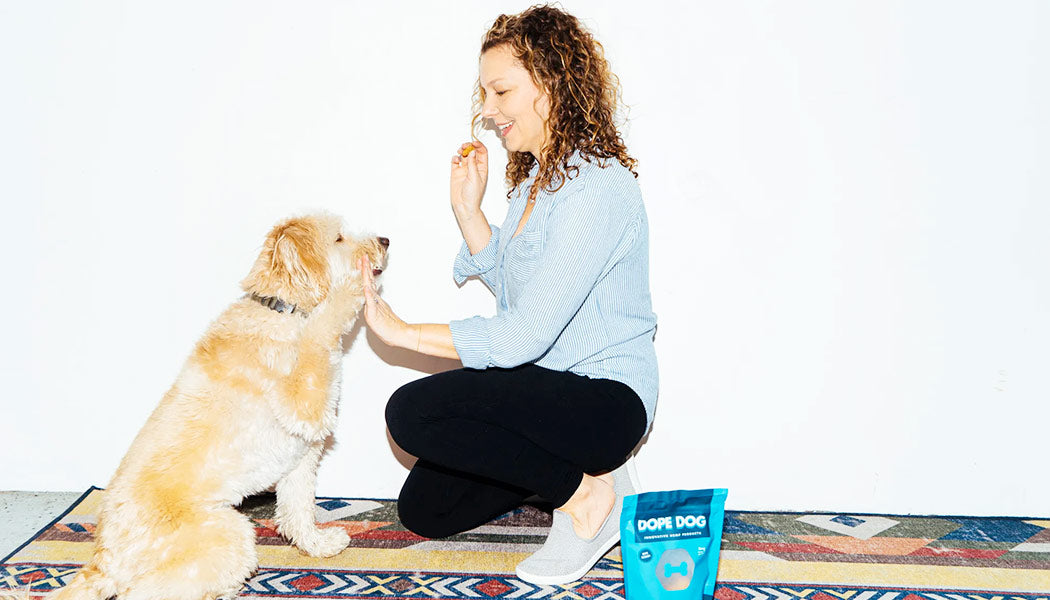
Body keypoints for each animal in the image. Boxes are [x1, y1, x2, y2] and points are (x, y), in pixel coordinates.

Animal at [53, 213, 390, 596]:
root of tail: (105, 556)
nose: (385, 240)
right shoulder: (305, 404)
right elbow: (322, 332)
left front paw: (318, 545)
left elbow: (298, 511)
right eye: (338, 238)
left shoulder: (302, 457)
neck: (282, 312)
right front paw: (352, 290)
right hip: (228, 532)